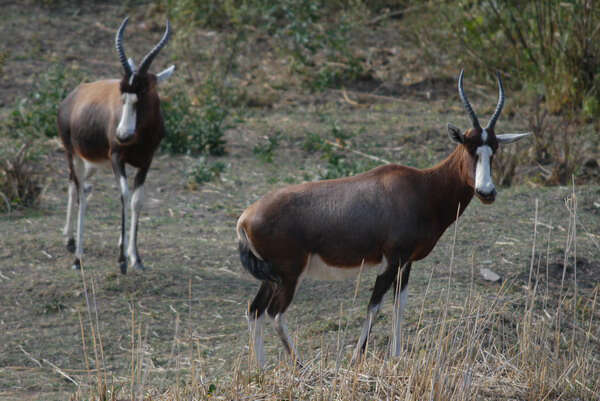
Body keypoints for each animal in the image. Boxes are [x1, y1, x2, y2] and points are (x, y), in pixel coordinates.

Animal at [58, 16, 175, 272]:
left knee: (78, 186)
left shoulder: (146, 161)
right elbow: (123, 194)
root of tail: (72, 95)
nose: (122, 134)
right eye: (121, 90)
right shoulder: (116, 158)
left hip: (91, 162)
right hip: (72, 154)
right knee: (80, 191)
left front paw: (135, 258)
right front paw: (122, 260)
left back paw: (70, 241)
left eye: (145, 90)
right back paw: (77, 257)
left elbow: (136, 200)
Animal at [237, 70, 532, 368]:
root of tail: (244, 219)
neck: (422, 186)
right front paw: (358, 357)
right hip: (289, 274)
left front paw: (397, 355)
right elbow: (375, 305)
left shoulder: (406, 262)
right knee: (275, 313)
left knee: (255, 310)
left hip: (273, 276)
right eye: (469, 147)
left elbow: (399, 305)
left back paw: (261, 369)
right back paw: (300, 365)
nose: (487, 192)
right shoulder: (391, 260)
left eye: (493, 149)